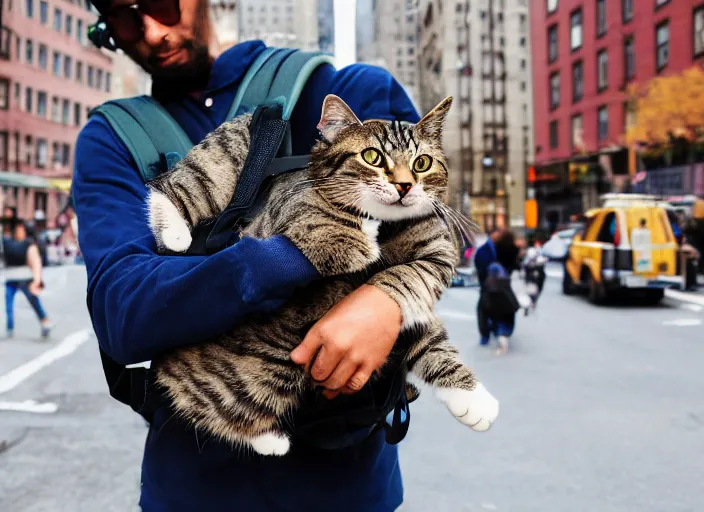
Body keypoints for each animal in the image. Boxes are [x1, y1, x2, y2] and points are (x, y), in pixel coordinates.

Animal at [146, 95, 498, 456]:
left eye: (422, 163)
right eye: (372, 157)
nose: (404, 185)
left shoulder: (433, 259)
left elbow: (419, 314)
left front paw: (471, 397)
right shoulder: (297, 219)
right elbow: (332, 229)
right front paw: (362, 232)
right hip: (225, 160)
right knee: (174, 184)